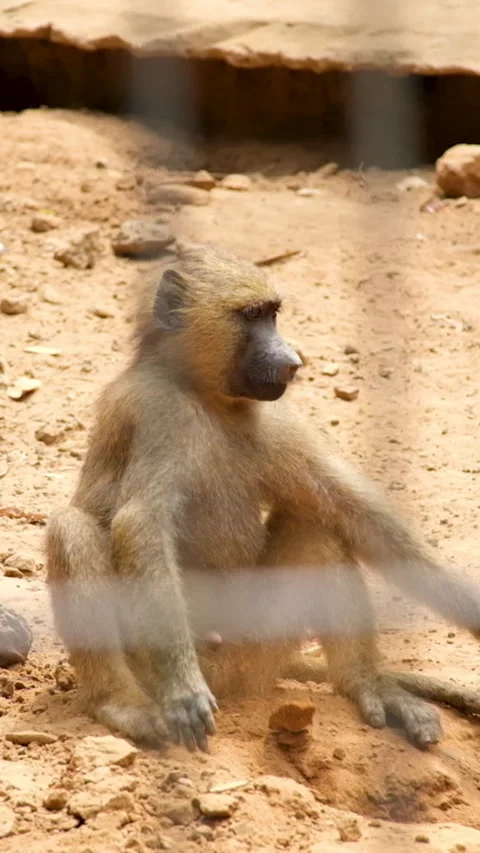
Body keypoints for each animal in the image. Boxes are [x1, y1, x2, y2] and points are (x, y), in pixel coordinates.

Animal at [46, 243, 480, 755]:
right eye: (252, 315)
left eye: (273, 314)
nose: (293, 361)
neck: (206, 396)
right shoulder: (158, 413)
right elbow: (140, 524)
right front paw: (182, 689)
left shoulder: (274, 418)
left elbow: (351, 507)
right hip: (155, 659)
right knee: (70, 530)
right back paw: (121, 704)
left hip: (254, 650)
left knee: (317, 528)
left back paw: (367, 684)